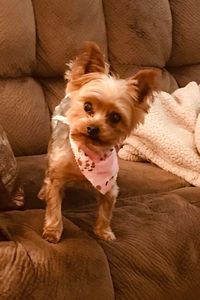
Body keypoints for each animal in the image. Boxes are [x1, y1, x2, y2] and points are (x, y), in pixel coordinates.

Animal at [38, 41, 158, 244]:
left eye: (115, 117)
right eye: (87, 106)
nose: (93, 128)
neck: (89, 152)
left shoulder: (109, 186)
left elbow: (106, 210)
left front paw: (103, 231)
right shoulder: (57, 177)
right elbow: (54, 206)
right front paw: (53, 231)